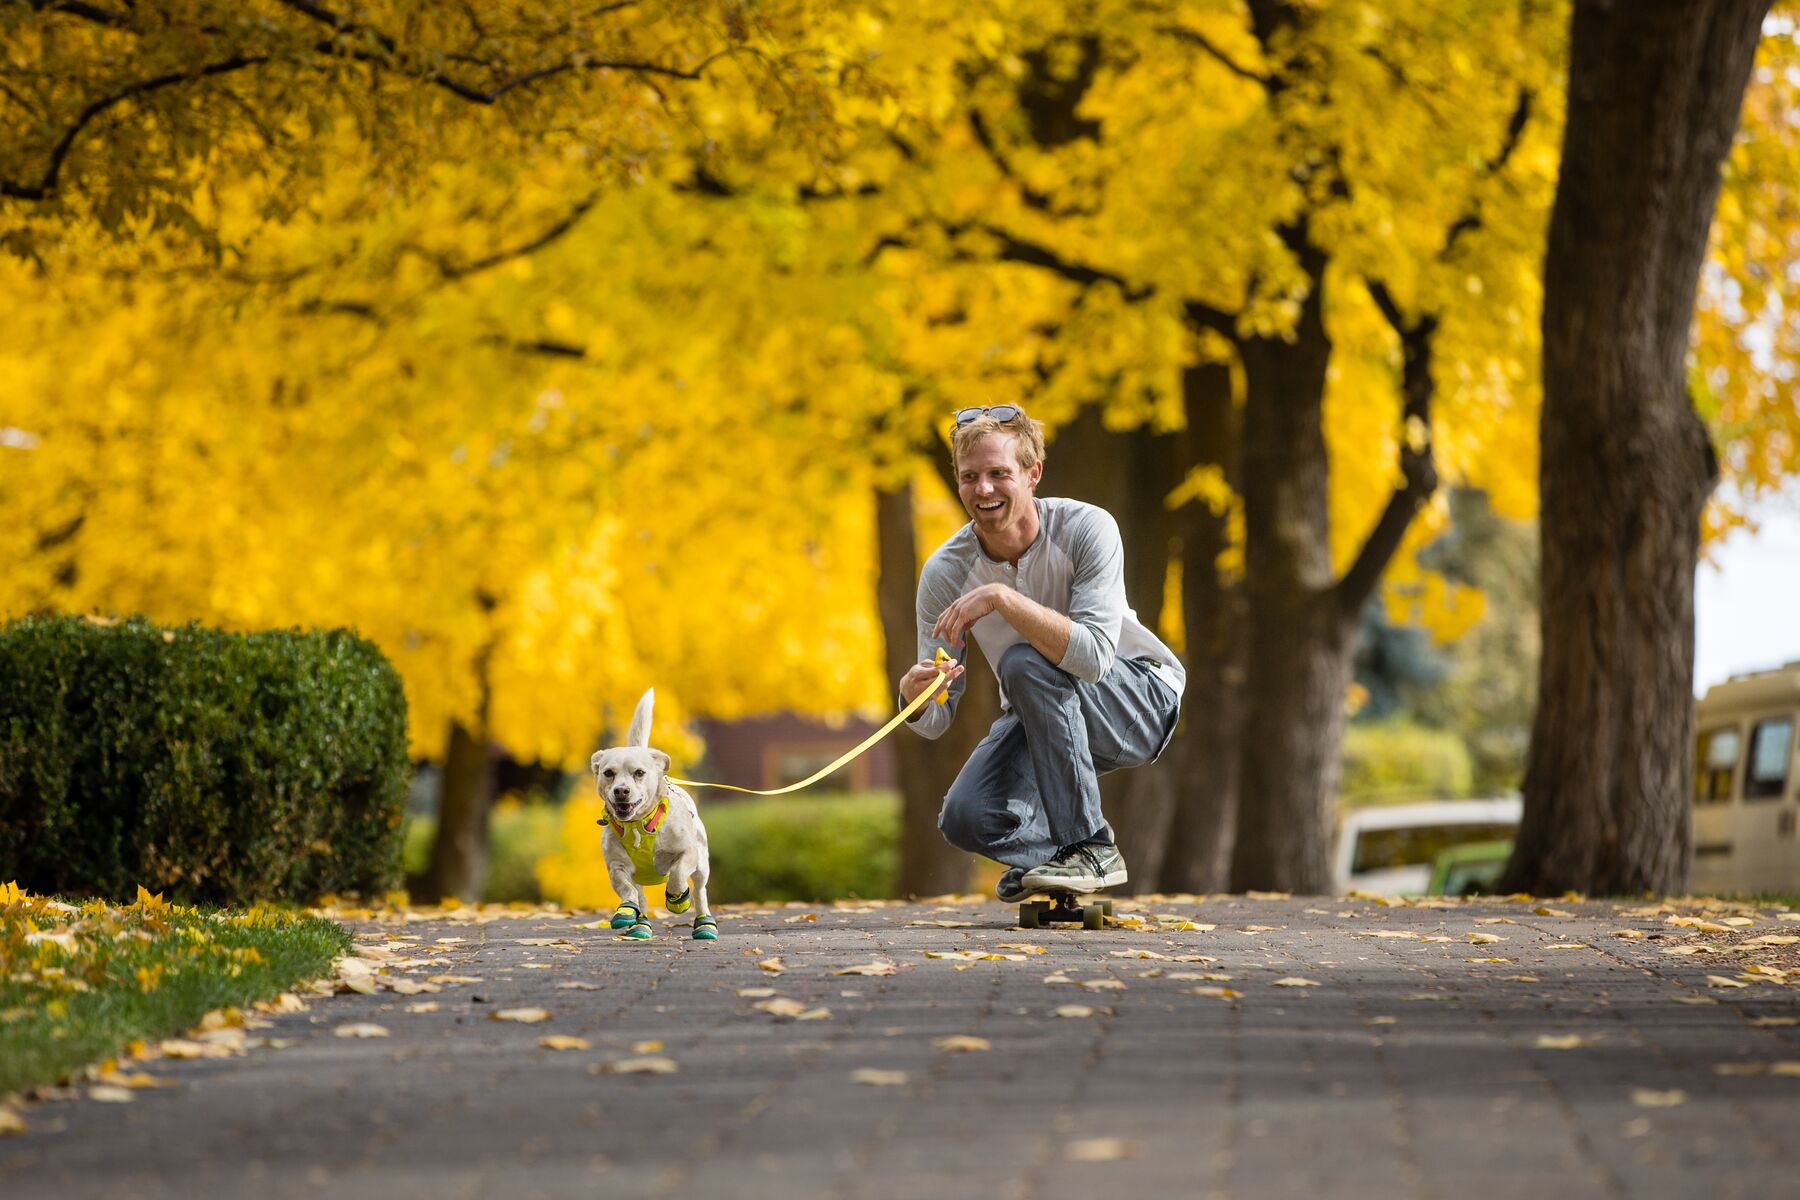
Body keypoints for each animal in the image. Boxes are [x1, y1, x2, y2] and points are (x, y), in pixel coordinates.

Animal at [590, 694, 716, 935]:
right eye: (608, 773)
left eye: (639, 773)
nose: (621, 790)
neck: (638, 825)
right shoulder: (616, 866)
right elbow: (626, 888)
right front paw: (626, 911)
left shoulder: (688, 852)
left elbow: (677, 874)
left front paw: (677, 900)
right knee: (641, 898)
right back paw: (641, 926)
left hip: (702, 864)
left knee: (700, 891)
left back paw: (705, 924)